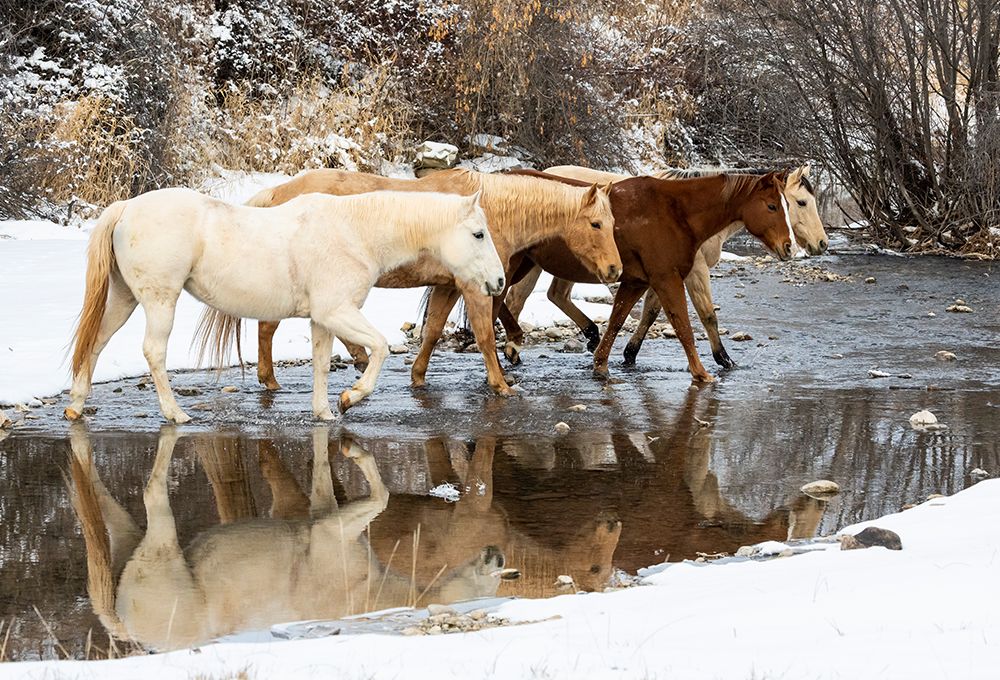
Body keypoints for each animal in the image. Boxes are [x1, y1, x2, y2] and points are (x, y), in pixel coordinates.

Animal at [65, 188, 504, 423]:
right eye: (478, 234)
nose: (498, 282)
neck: (354, 232)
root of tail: (127, 207)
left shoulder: (323, 320)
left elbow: (322, 364)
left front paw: (324, 412)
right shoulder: (337, 312)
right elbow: (379, 348)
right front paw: (351, 397)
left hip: (123, 299)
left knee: (96, 344)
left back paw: (75, 406)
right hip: (160, 301)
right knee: (154, 352)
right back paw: (176, 414)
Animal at [67, 425, 507, 651]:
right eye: (486, 585)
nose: (497, 556)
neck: (369, 593)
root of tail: (128, 628)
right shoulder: (331, 531)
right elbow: (380, 495)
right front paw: (352, 447)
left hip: (134, 545)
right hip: (162, 545)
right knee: (151, 493)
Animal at [198, 168, 619, 396]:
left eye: (613, 223)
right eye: (595, 224)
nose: (615, 270)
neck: (491, 210)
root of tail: (278, 193)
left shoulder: (449, 286)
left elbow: (432, 332)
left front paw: (418, 377)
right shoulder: (474, 287)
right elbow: (484, 334)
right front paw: (500, 384)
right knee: (268, 327)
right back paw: (270, 381)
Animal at [501, 165, 827, 368]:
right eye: (798, 202)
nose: (820, 244)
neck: (683, 213)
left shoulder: (662, 273)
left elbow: (651, 311)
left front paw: (629, 353)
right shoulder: (692, 271)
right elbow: (705, 314)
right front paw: (723, 359)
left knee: (554, 295)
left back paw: (589, 335)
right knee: (518, 298)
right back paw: (513, 351)